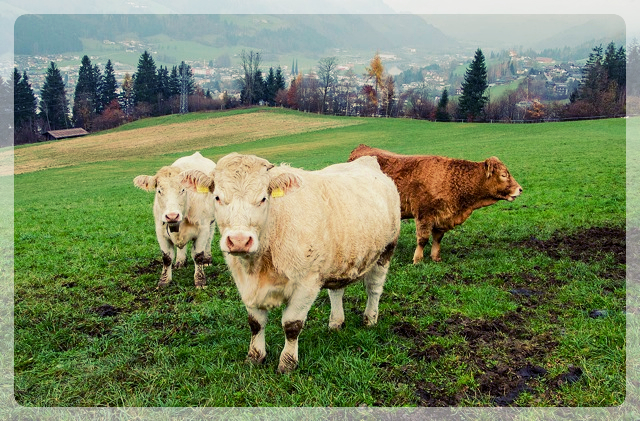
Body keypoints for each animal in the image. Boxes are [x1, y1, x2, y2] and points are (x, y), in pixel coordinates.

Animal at [134, 152, 216, 288]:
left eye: (183, 190)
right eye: (159, 190)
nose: (172, 216)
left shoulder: (203, 229)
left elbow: (198, 255)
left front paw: (200, 280)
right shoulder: (160, 231)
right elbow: (166, 258)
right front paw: (164, 281)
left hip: (212, 222)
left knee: (209, 240)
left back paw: (207, 259)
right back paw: (180, 262)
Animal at [181, 153, 400, 372]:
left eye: (263, 198)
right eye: (217, 197)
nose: (239, 240)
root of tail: (367, 161)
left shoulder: (307, 283)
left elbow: (292, 325)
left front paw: (287, 362)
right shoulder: (245, 283)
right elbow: (256, 323)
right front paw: (255, 356)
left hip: (386, 251)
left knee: (374, 289)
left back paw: (370, 319)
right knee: (336, 292)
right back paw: (336, 323)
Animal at [348, 144, 524, 262]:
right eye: (503, 175)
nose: (520, 189)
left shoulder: (442, 217)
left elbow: (438, 238)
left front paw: (435, 257)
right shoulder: (424, 214)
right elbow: (423, 239)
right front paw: (417, 259)